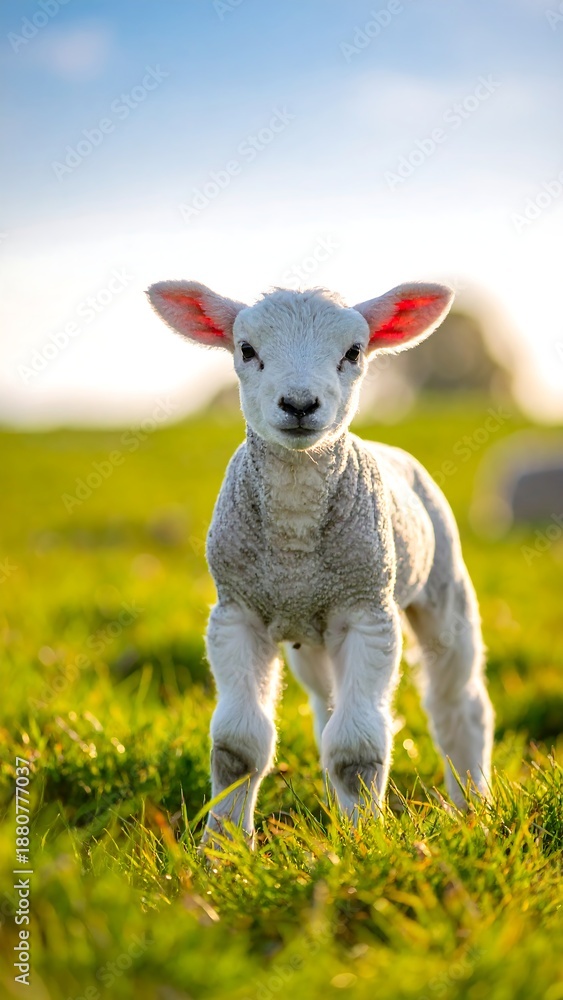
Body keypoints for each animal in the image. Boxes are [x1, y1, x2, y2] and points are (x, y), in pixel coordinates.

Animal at [147, 278, 495, 842]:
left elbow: (356, 749)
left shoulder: (367, 612)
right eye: (246, 349)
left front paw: (364, 842)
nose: (299, 403)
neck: (294, 537)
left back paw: (471, 806)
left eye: (353, 353)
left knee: (458, 705)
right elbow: (238, 746)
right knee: (325, 707)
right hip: (311, 640)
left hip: (444, 586)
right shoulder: (236, 613)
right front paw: (222, 846)